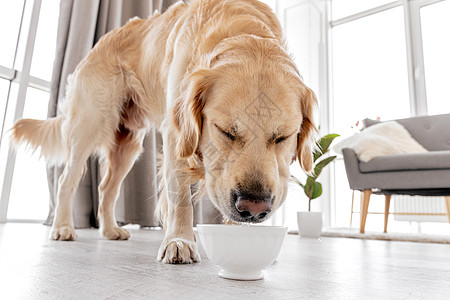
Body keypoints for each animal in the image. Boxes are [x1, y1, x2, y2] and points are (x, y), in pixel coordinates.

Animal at [9, 0, 316, 262]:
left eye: (283, 137)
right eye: (225, 131)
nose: (253, 207)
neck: (240, 29)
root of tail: (99, 44)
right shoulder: (175, 135)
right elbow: (179, 196)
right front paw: (179, 240)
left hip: (128, 145)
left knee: (106, 188)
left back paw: (109, 230)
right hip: (91, 124)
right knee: (66, 182)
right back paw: (62, 227)